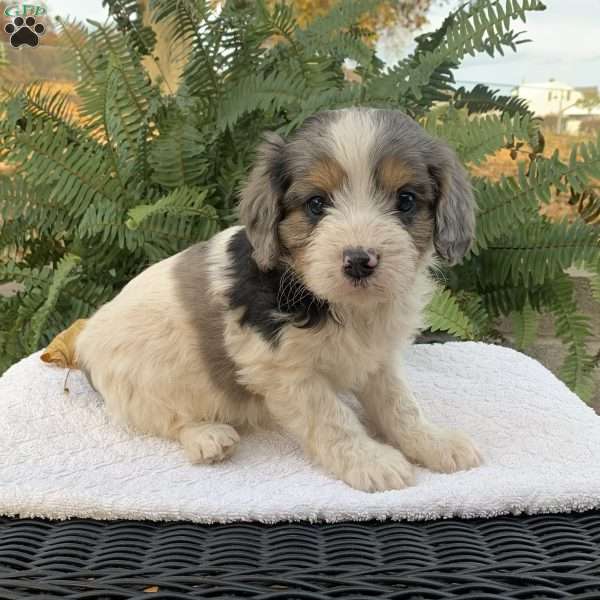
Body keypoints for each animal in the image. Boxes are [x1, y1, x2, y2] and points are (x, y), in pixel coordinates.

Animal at [77, 108, 486, 492]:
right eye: (317, 204)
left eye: (406, 200)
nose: (358, 261)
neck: (339, 304)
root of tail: (83, 340)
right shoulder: (285, 371)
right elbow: (333, 419)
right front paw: (370, 460)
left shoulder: (379, 358)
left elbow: (400, 404)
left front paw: (433, 442)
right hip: (144, 387)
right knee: (171, 419)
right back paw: (207, 437)